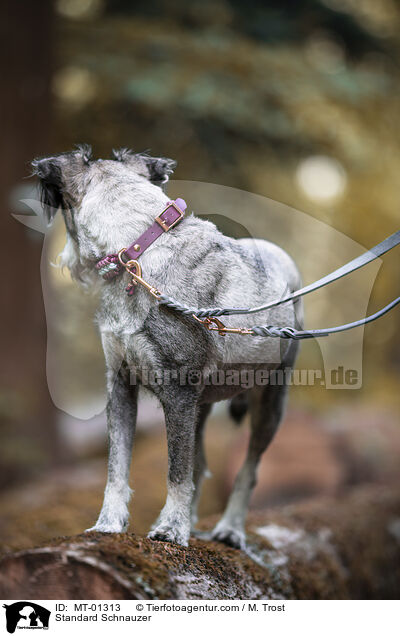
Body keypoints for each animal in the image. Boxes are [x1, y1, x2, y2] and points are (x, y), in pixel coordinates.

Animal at [32, 143, 302, 548]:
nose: (63, 263)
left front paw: (171, 530)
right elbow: (117, 466)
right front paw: (108, 523)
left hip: (269, 400)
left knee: (248, 467)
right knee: (200, 464)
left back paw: (230, 529)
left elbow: (176, 471)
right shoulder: (122, 385)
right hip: (203, 405)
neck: (137, 254)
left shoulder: (178, 393)